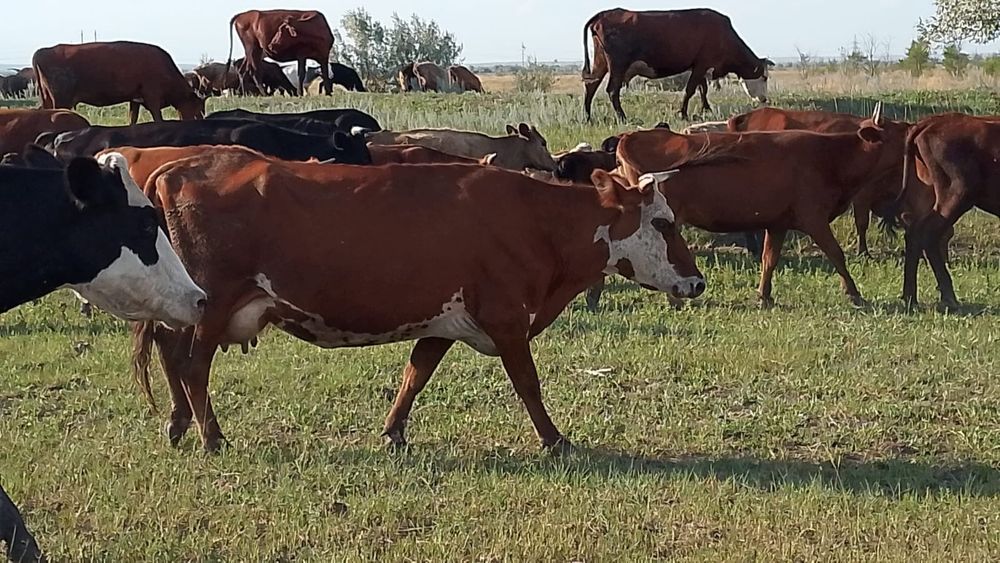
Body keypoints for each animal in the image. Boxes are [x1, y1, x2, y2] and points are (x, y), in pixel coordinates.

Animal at [33, 41, 205, 125]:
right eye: (196, 106)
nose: (199, 120)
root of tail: (42, 51)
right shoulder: (152, 96)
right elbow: (158, 118)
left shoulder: (135, 99)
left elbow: (132, 118)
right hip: (61, 100)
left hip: (47, 99)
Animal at [128, 147, 705, 452]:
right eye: (664, 222)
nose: (697, 283)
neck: (536, 220)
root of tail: (180, 165)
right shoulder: (506, 320)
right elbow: (528, 383)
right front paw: (554, 439)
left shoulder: (441, 322)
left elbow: (415, 374)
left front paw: (393, 432)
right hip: (212, 304)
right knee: (193, 365)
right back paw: (212, 437)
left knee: (171, 354)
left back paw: (180, 425)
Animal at [582, 8, 772, 121]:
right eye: (764, 77)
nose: (764, 99)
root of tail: (603, 14)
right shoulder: (702, 64)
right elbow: (690, 90)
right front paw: (683, 114)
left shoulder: (699, 66)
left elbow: (703, 89)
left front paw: (706, 109)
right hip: (618, 65)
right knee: (612, 90)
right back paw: (622, 117)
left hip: (601, 63)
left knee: (591, 86)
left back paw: (588, 118)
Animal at [883, 113, 1000, 309]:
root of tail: (931, 122)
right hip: (957, 194)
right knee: (927, 233)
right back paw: (948, 297)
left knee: (916, 232)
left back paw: (911, 297)